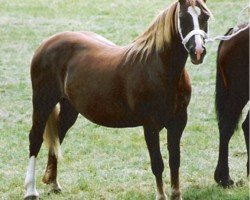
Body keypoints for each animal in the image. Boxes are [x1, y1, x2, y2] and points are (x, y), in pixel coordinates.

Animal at [23, 0, 211, 199]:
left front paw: (176, 194)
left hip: (69, 108)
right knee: (35, 138)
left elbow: (175, 161)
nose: (198, 51)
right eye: (183, 17)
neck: (160, 69)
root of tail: (46, 43)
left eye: (205, 16)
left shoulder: (178, 122)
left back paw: (53, 183)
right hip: (43, 101)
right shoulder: (150, 125)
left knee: (57, 136)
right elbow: (157, 164)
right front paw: (161, 195)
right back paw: (30, 190)